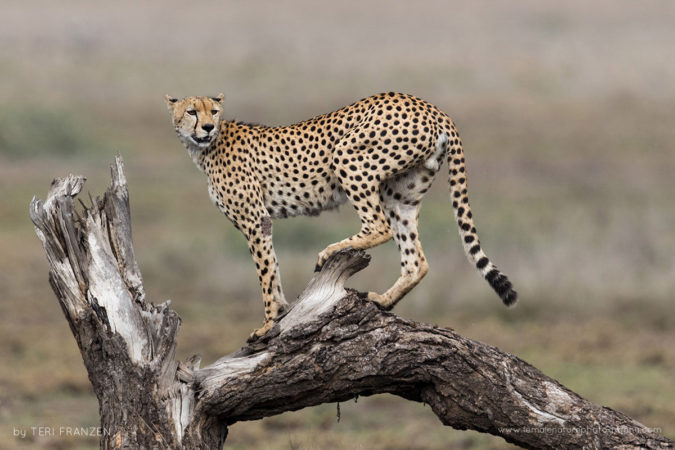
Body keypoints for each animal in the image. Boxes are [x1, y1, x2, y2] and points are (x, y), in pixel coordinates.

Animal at [165, 92, 517, 339]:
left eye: (214, 111)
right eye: (192, 111)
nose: (207, 127)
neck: (206, 148)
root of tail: (429, 105)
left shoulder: (255, 220)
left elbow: (265, 273)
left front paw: (268, 323)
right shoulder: (260, 222)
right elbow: (272, 269)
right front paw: (281, 312)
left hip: (348, 156)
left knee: (378, 226)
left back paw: (330, 251)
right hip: (402, 194)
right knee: (416, 259)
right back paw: (384, 300)